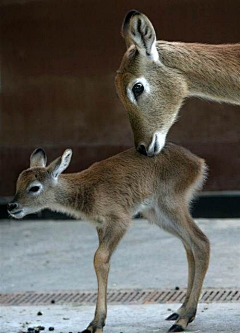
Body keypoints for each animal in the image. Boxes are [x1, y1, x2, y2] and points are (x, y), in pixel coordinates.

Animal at [7, 144, 210, 330]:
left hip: (170, 203)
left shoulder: (120, 220)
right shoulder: (101, 225)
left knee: (200, 242)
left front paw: (96, 323)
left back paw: (183, 320)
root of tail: (198, 162)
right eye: (18, 183)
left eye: (34, 187)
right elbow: (103, 261)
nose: (12, 206)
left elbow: (100, 258)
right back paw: (180, 311)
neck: (88, 192)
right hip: (156, 212)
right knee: (189, 246)